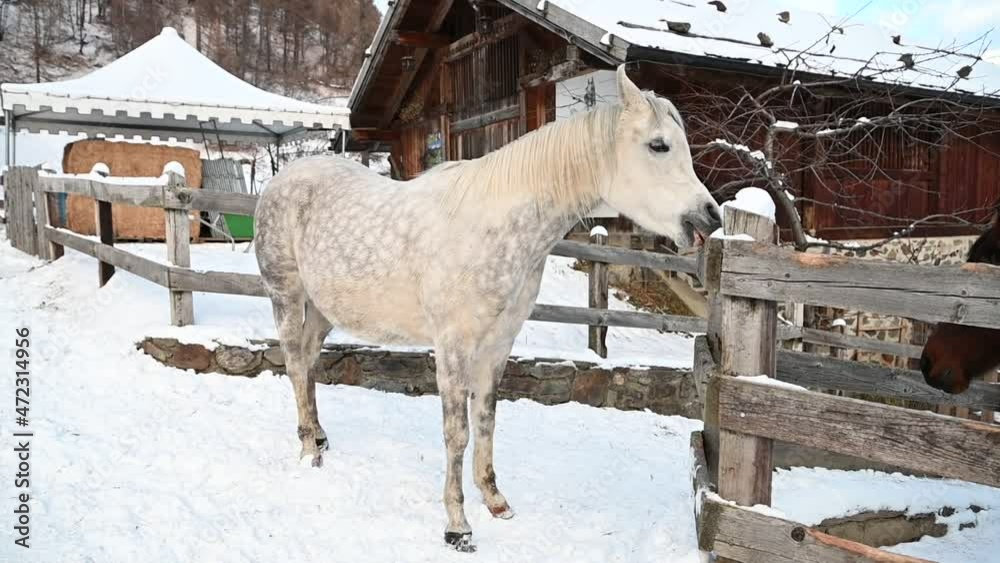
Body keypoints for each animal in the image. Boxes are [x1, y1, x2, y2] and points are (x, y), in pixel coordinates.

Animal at [254, 65, 724, 552]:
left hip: (322, 309)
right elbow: (457, 433)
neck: (493, 226)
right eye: (658, 145)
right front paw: (457, 524)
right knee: (294, 364)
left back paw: (320, 437)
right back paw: (308, 451)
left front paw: (494, 499)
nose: (709, 219)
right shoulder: (453, 348)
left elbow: (486, 420)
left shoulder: (498, 345)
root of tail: (281, 180)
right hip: (286, 295)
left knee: (309, 361)